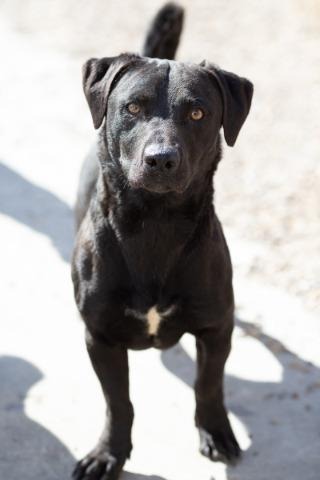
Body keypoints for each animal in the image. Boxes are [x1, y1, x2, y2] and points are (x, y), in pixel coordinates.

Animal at [71, 4, 254, 480]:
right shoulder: (100, 336)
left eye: (198, 113)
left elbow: (209, 385)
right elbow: (118, 402)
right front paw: (110, 453)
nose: (161, 159)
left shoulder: (216, 326)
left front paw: (216, 433)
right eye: (133, 106)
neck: (155, 222)